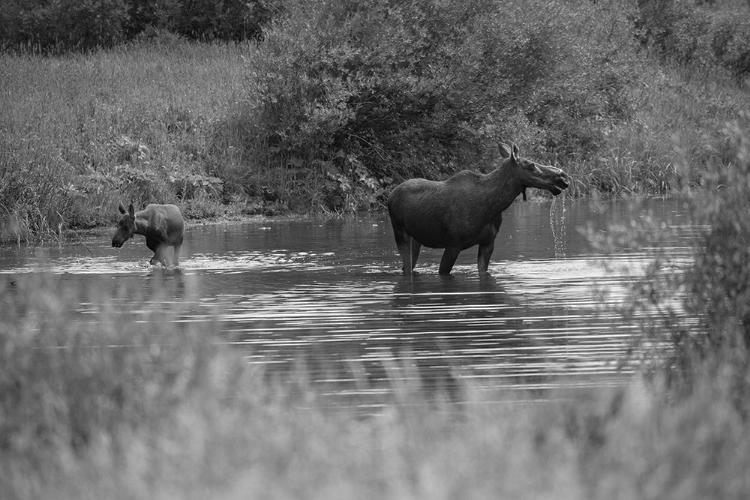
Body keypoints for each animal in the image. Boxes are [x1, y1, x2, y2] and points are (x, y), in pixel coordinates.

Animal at [388, 143, 568, 276]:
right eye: (531, 164)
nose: (562, 176)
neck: (491, 206)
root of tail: (390, 195)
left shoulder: (488, 243)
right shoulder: (453, 244)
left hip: (416, 239)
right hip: (400, 232)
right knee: (406, 267)